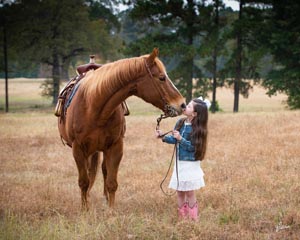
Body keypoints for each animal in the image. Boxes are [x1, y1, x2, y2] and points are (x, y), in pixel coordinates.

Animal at [56, 47, 185, 209]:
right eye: (161, 78)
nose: (182, 104)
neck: (94, 107)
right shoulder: (78, 149)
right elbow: (84, 182)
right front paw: (85, 209)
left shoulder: (116, 147)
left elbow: (111, 182)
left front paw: (111, 210)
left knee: (104, 170)